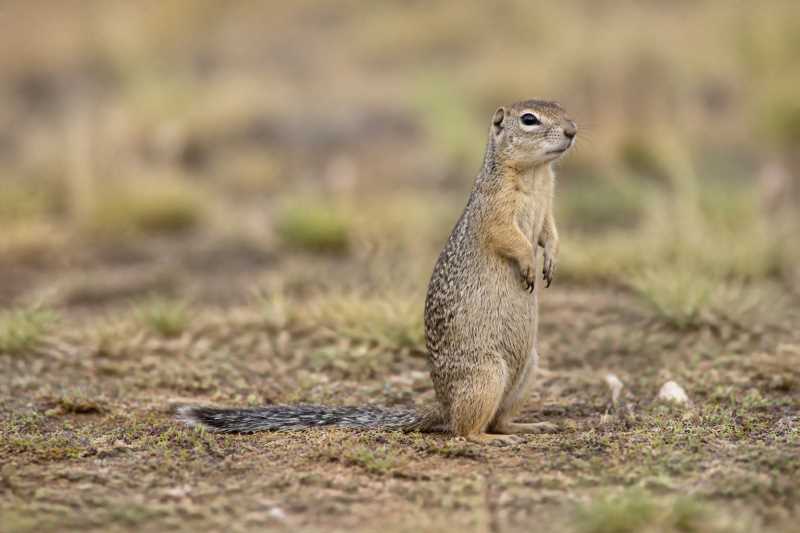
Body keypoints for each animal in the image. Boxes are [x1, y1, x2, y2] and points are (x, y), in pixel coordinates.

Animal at [177, 99, 576, 444]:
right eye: (529, 119)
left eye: (562, 108)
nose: (573, 131)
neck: (537, 175)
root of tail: (442, 405)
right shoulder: (494, 209)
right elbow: (509, 237)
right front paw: (529, 264)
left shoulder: (549, 206)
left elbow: (550, 232)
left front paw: (552, 260)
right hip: (486, 376)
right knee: (466, 429)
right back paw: (492, 439)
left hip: (527, 373)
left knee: (498, 419)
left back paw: (531, 425)